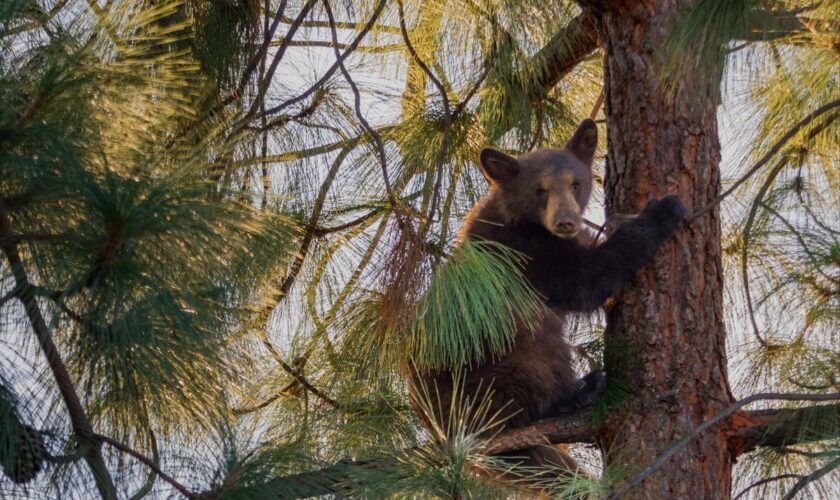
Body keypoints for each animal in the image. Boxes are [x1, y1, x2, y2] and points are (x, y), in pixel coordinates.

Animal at [410, 118, 684, 480]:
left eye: (576, 184)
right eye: (540, 190)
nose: (565, 221)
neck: (522, 220)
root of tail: (443, 430)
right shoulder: (526, 254)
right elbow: (586, 278)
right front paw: (662, 211)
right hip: (486, 362)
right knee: (540, 354)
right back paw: (579, 391)